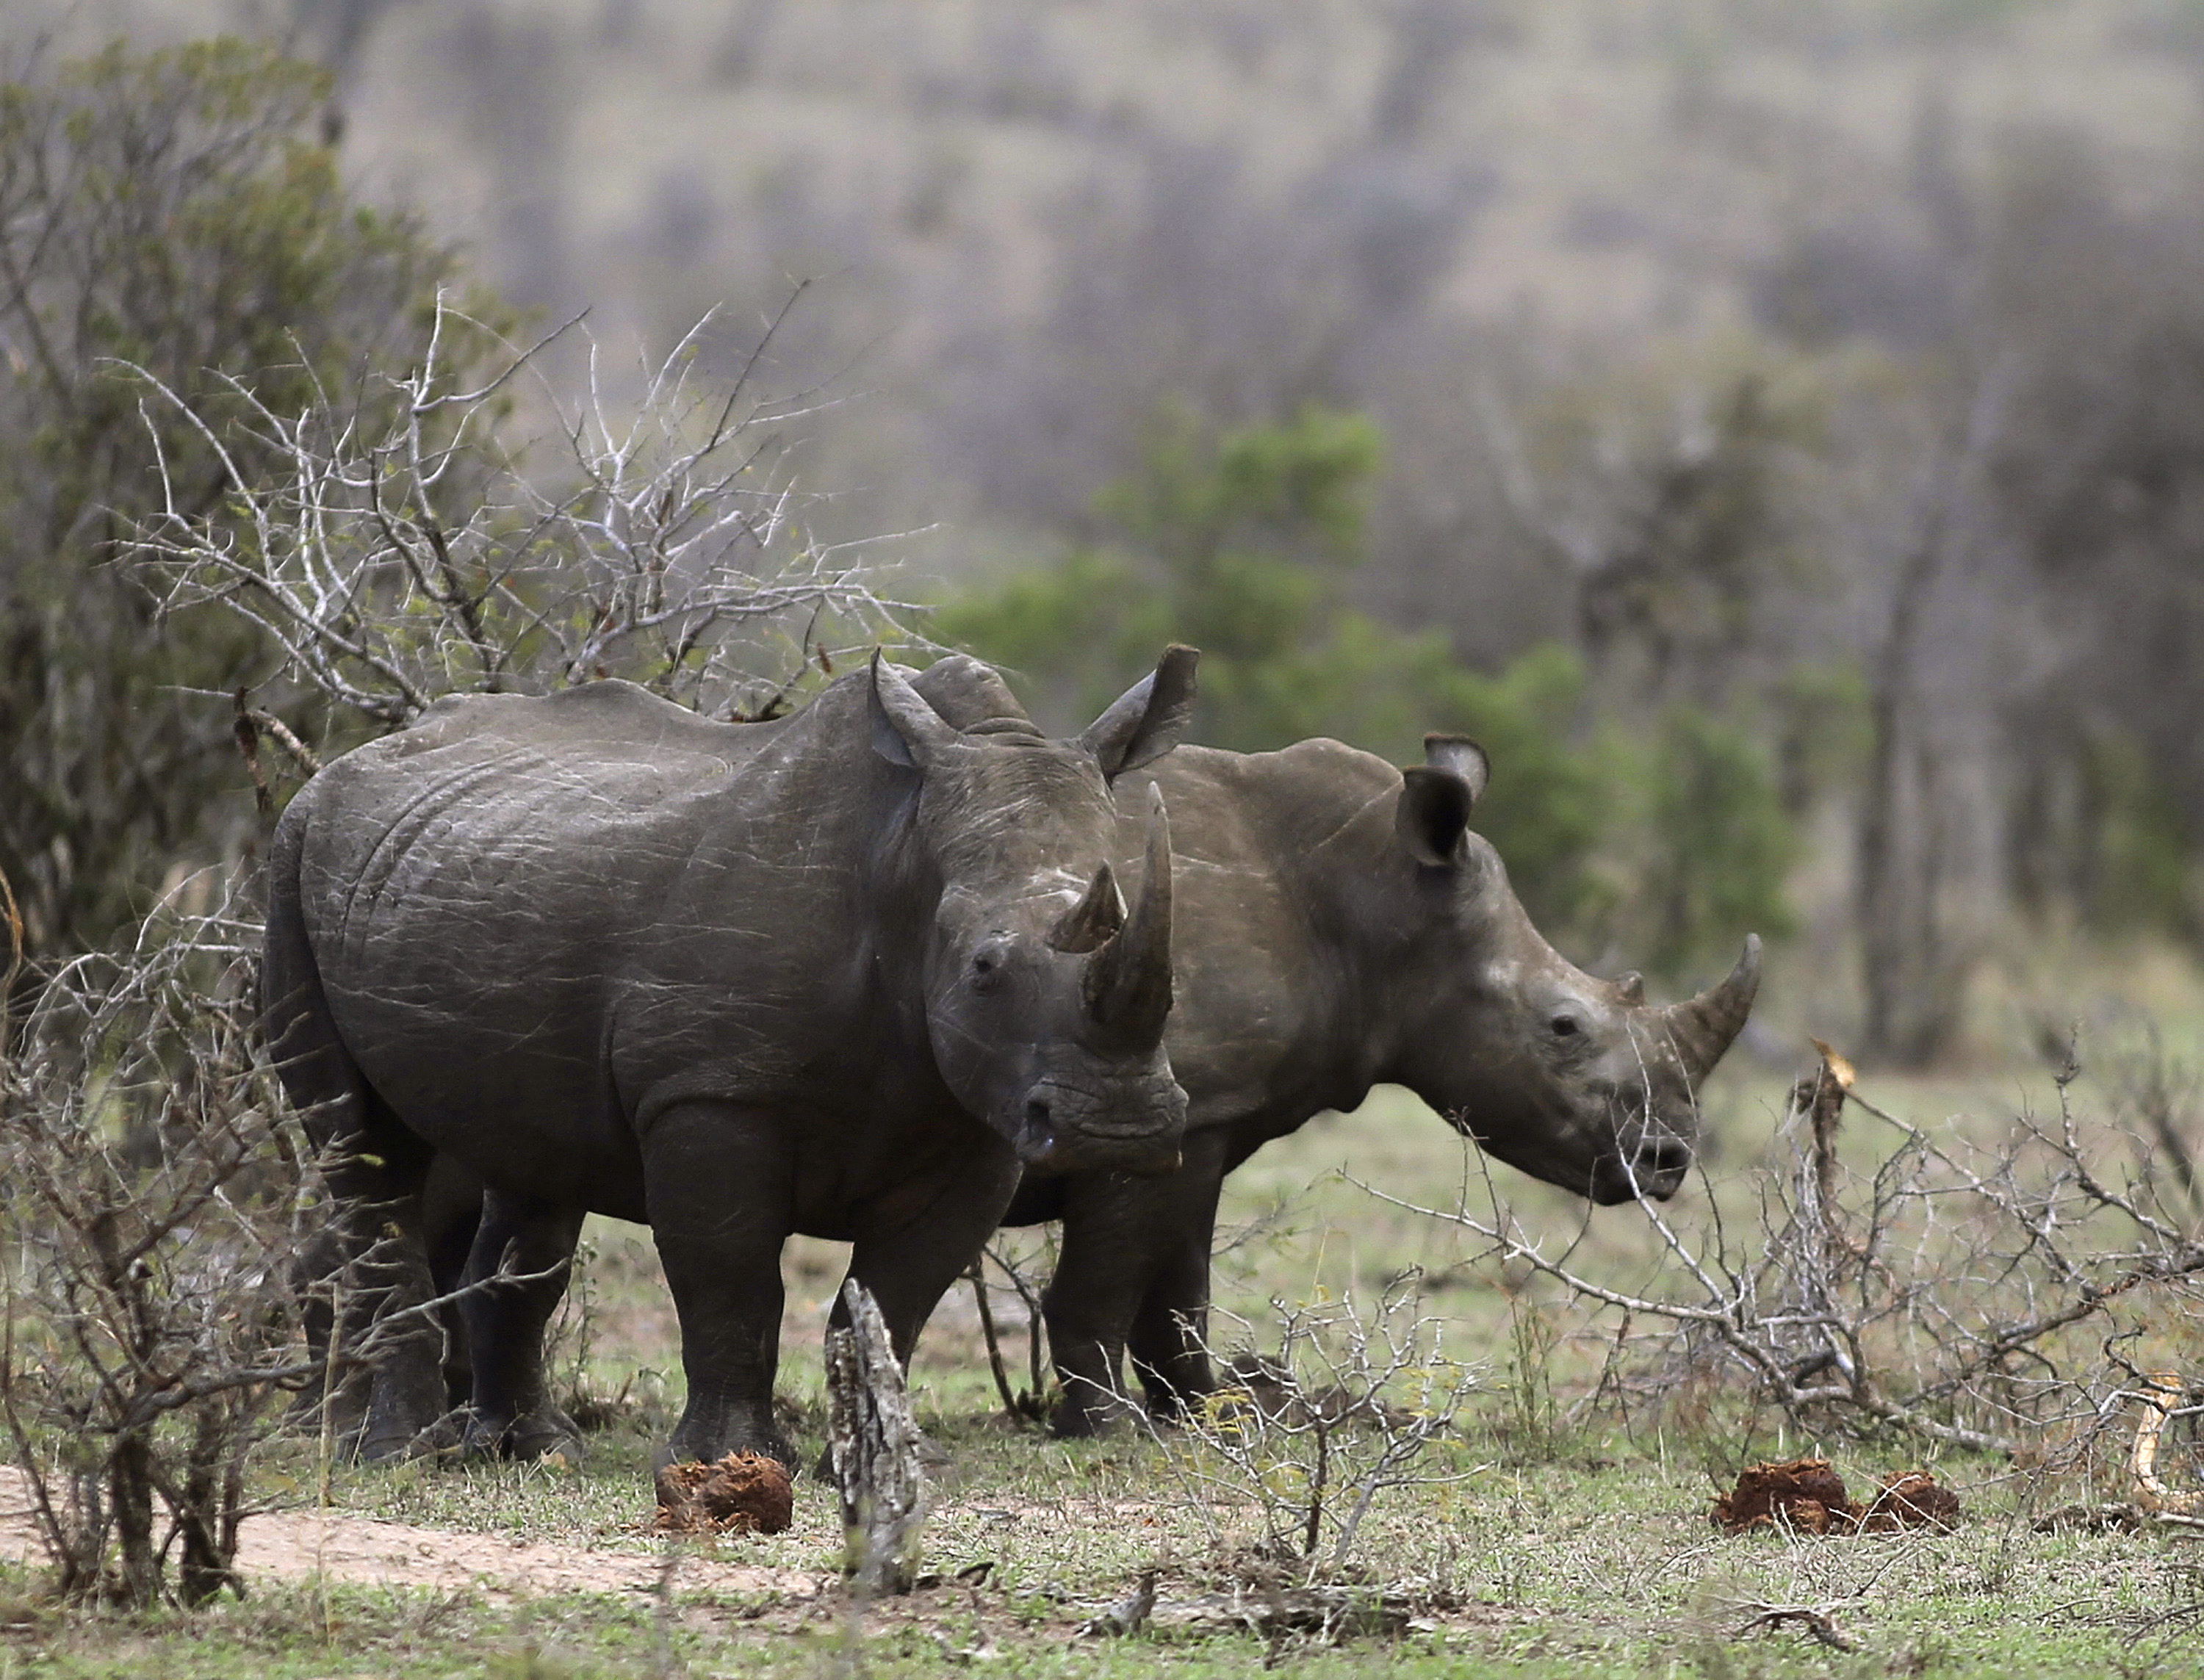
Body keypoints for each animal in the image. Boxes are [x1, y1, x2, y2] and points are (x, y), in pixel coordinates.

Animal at [262, 649, 1197, 1469]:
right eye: (984, 967)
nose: (1119, 1127)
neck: (905, 859)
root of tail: (338, 769)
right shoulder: (708, 1091)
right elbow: (731, 1278)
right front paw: (729, 1460)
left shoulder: (979, 1121)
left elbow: (899, 1294)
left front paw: (891, 1456)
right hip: (291, 858)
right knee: (362, 1147)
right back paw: (397, 1454)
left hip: (476, 877)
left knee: (533, 1172)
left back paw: (531, 1450)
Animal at [911, 661, 1763, 1433]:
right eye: (1563, 1027)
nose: (1667, 1161)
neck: (1379, 902)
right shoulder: (1144, 1109)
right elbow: (1109, 1289)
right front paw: (1107, 1424)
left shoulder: (1201, 1118)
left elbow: (1180, 1285)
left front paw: (1207, 1413)